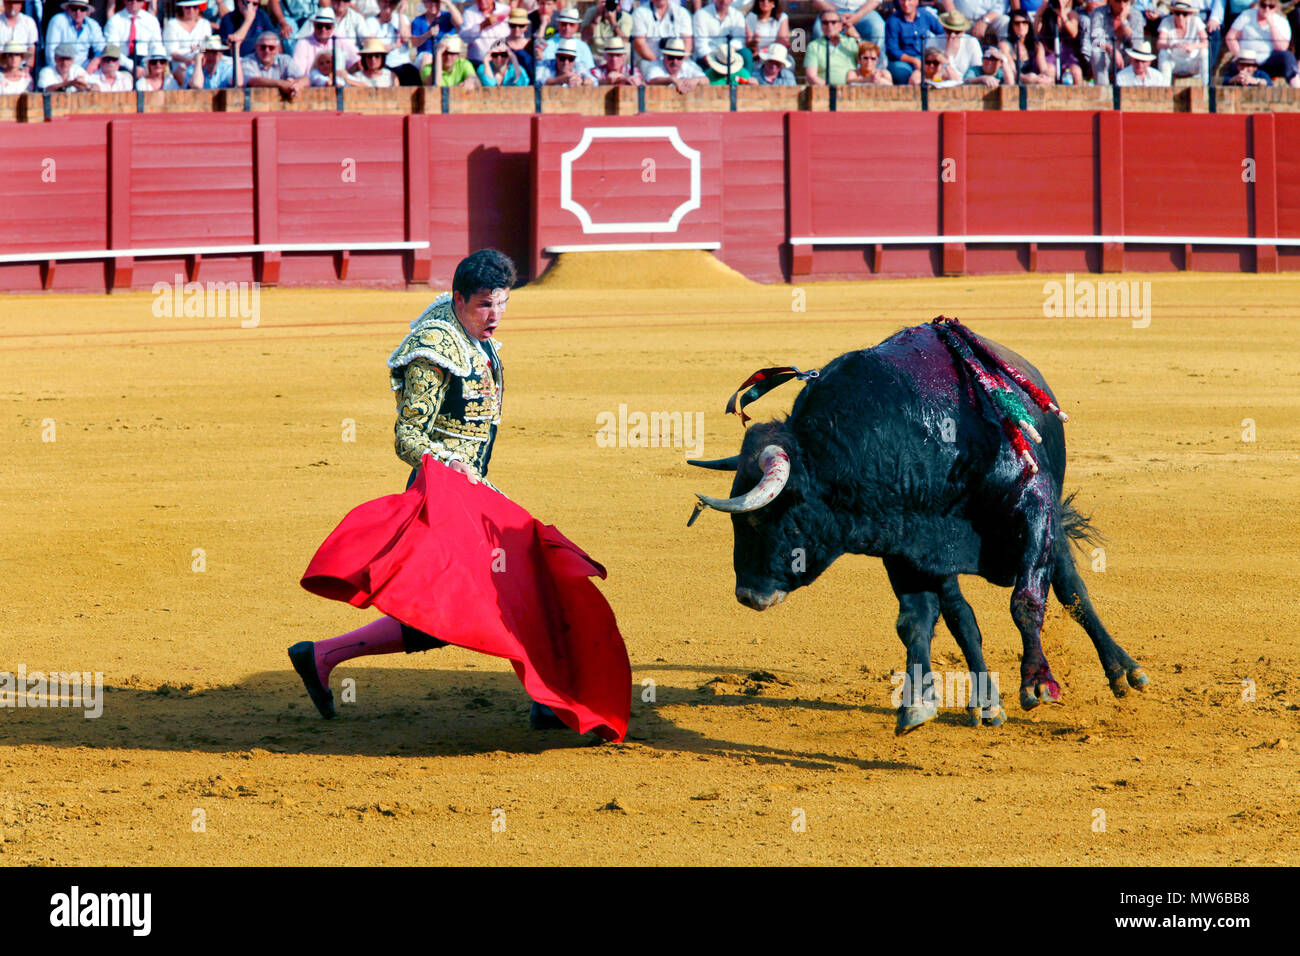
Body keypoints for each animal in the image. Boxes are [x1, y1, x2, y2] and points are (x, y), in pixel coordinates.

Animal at [686, 317, 1144, 738]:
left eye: (758, 516)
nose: (747, 595)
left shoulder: (1034, 504)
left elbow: (1028, 600)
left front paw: (1037, 682)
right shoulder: (907, 547)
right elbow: (916, 620)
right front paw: (918, 704)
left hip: (1048, 523)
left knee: (1071, 590)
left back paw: (1123, 672)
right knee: (962, 616)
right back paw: (986, 704)